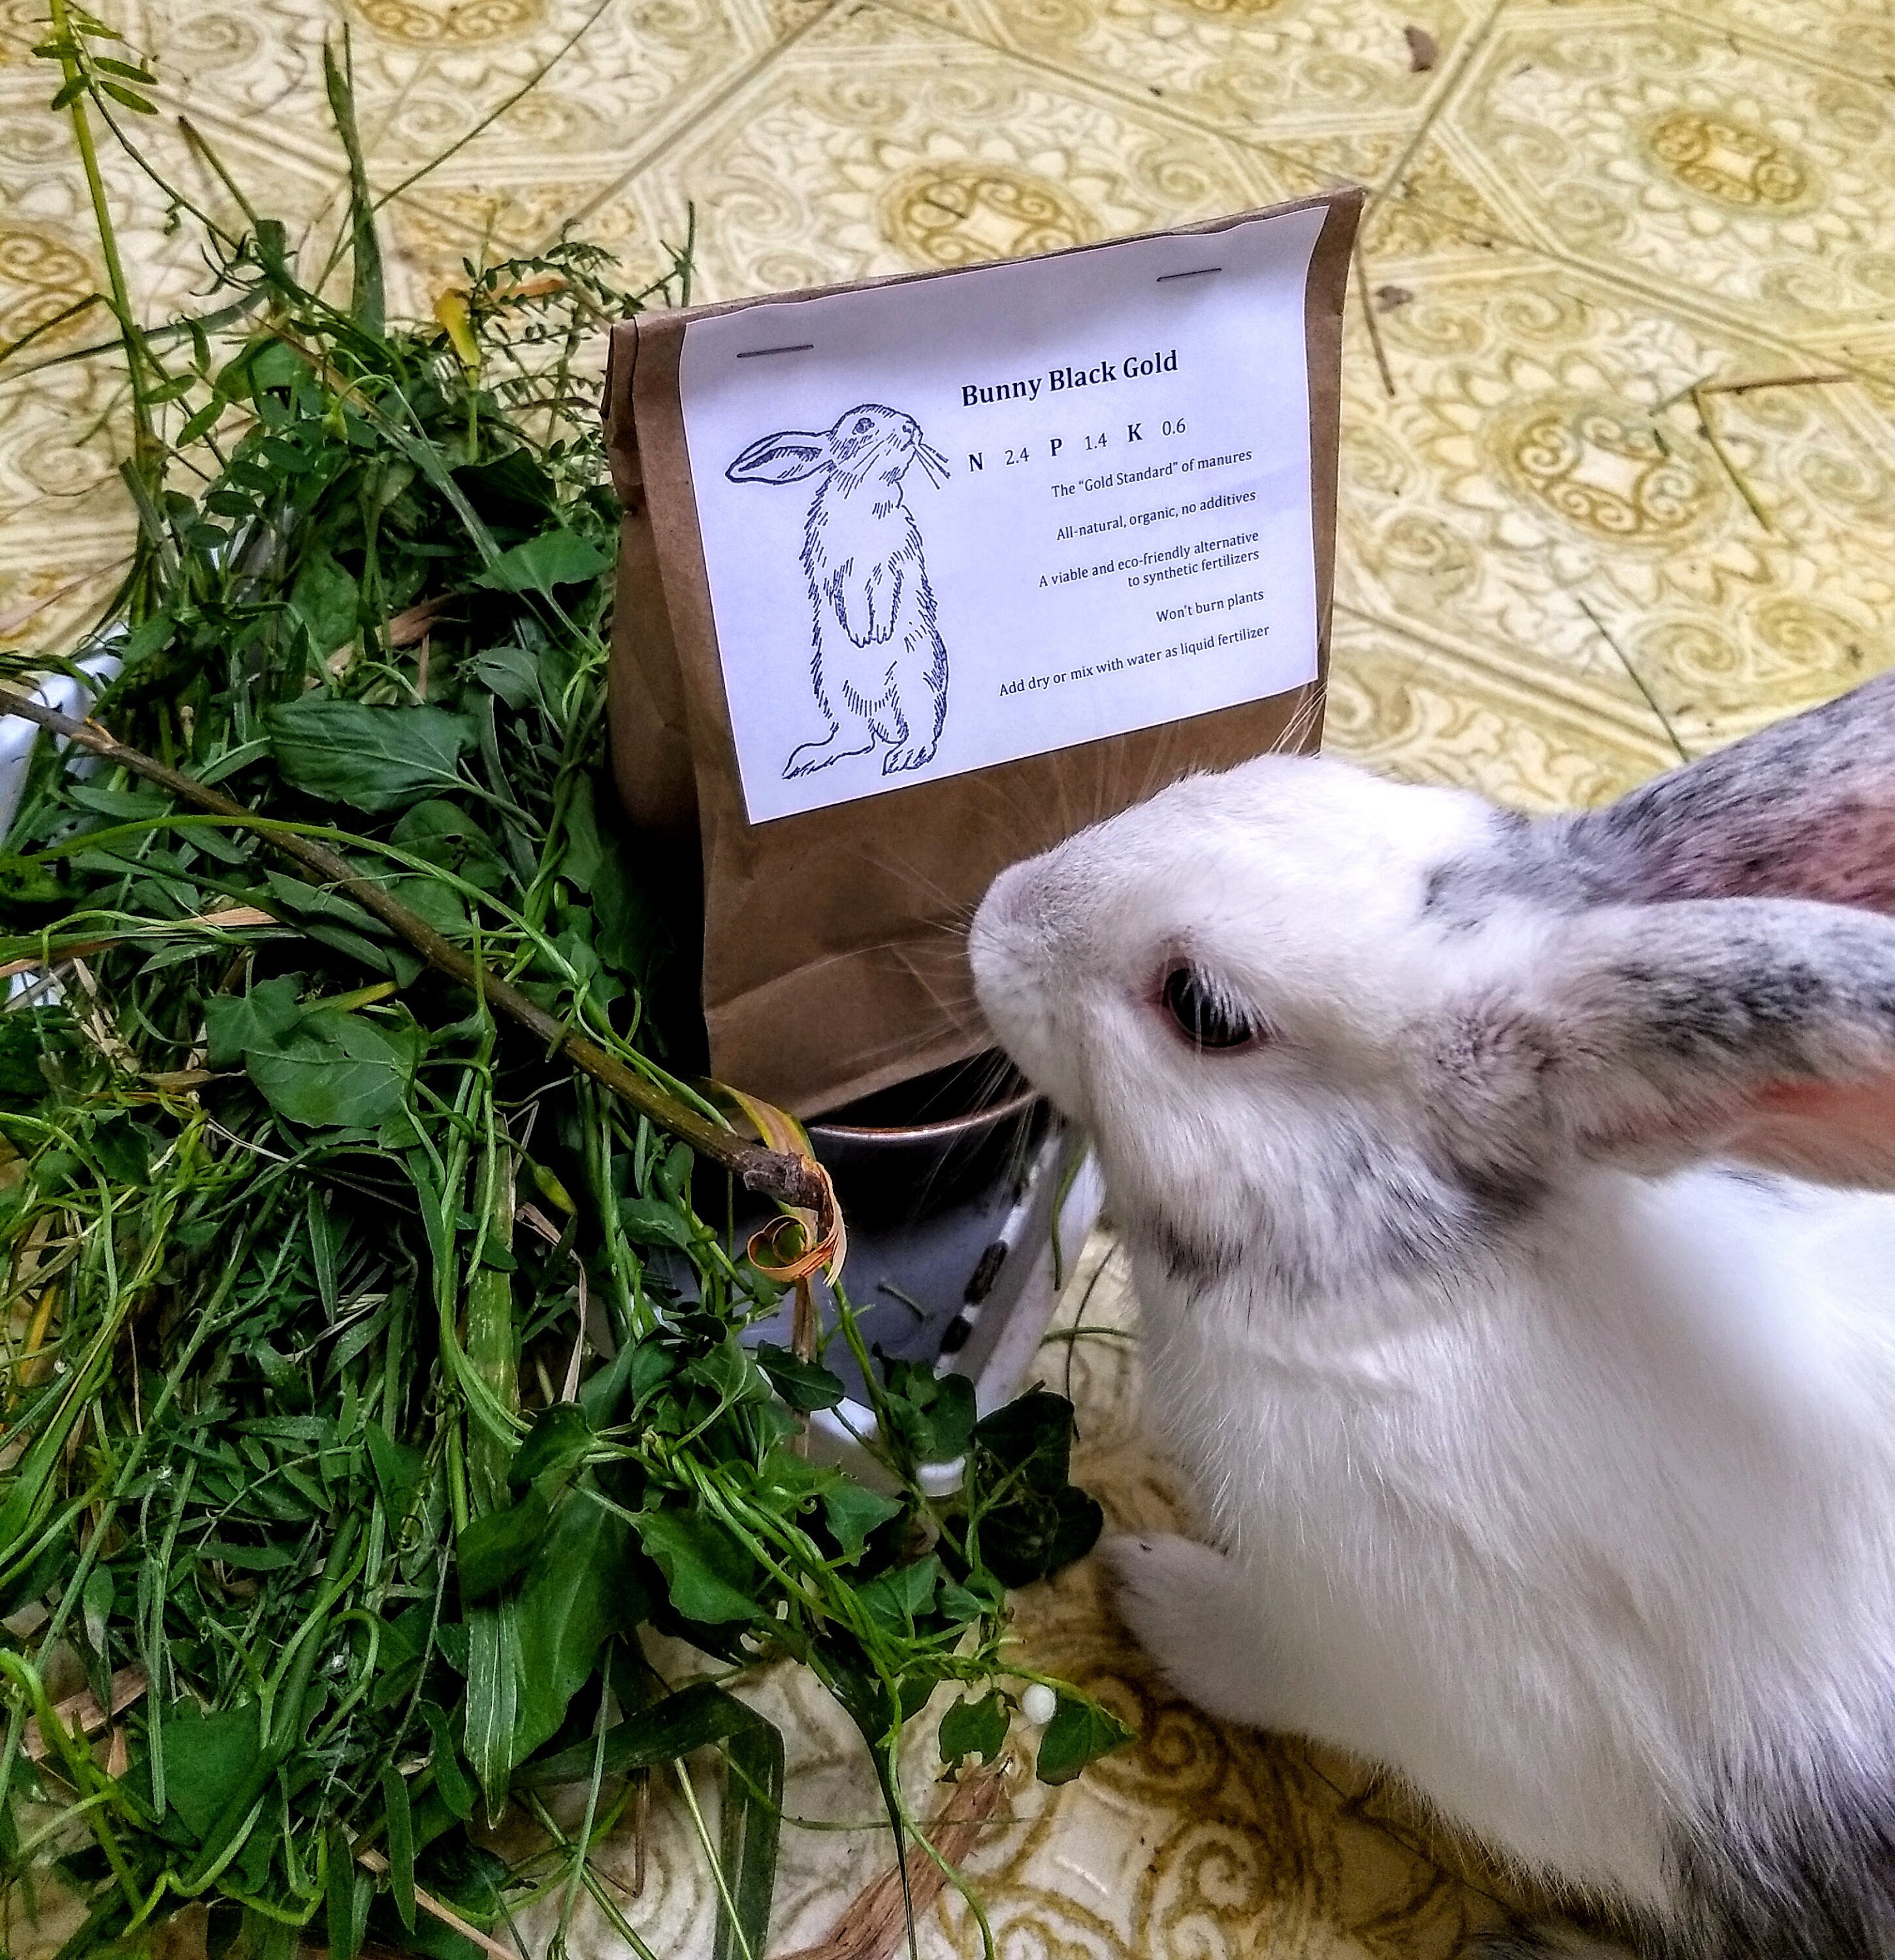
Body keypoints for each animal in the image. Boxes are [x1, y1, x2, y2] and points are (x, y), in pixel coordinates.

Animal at [726, 403, 951, 781]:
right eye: (863, 425)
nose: (911, 427)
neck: (866, 500)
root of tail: (884, 722)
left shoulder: (894, 561)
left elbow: (886, 591)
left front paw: (880, 632)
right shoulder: (834, 566)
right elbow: (846, 596)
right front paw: (862, 635)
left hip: (915, 678)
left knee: (920, 729)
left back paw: (904, 755)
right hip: (834, 687)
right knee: (857, 739)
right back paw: (809, 759)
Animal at [969, 670, 1895, 1960]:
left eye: (1202, 1010)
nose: (994, 911)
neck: (1402, 1303)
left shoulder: (1436, 1693)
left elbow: (1275, 1665)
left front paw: (1147, 1585)